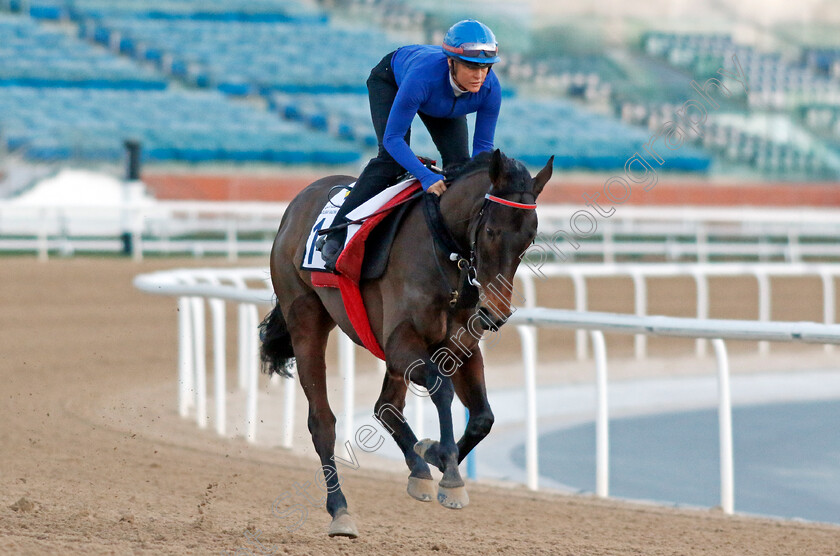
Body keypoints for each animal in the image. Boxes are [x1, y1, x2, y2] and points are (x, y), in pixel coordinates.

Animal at [260, 150, 552, 536]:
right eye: (491, 231)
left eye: (529, 239)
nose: (495, 313)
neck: (447, 255)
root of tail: (296, 204)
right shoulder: (402, 343)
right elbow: (441, 389)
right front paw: (449, 472)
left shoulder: (461, 347)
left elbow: (483, 418)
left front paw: (435, 455)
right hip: (306, 319)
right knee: (322, 421)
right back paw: (340, 510)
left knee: (386, 406)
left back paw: (418, 469)